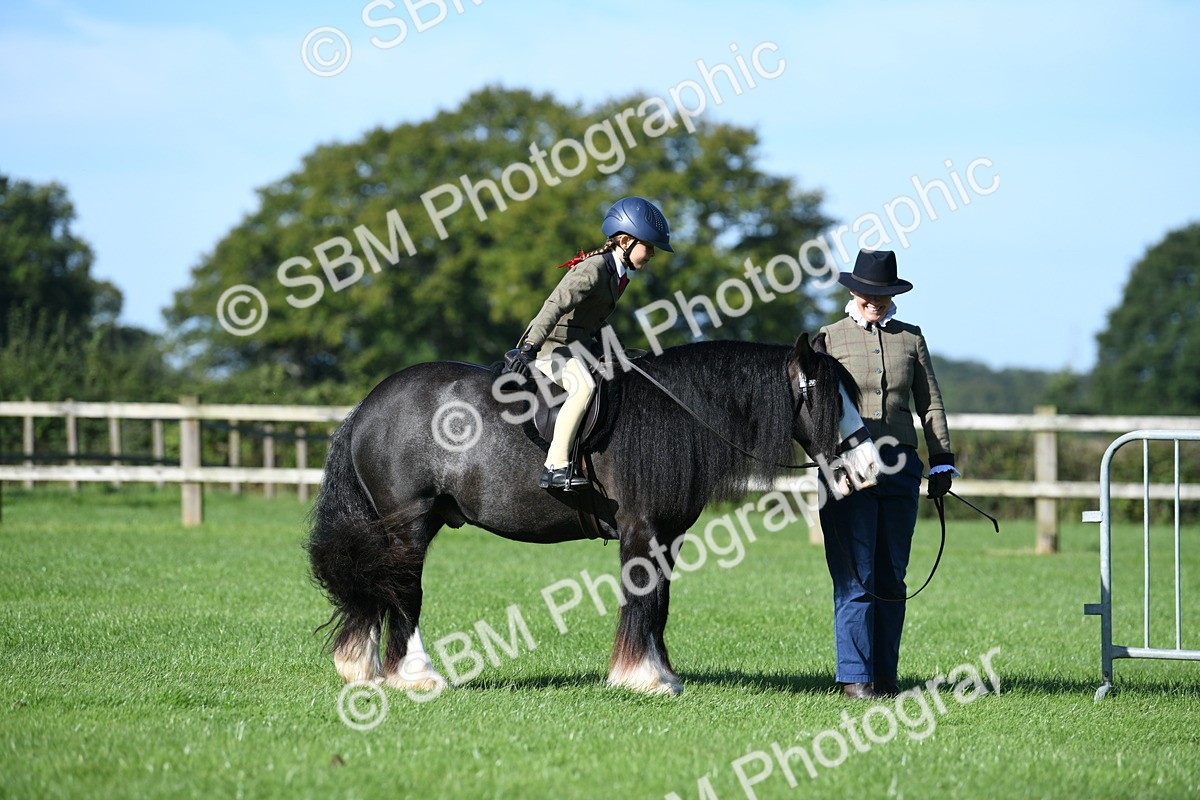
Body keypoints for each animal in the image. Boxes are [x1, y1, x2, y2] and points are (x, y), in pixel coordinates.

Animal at [306, 333, 881, 696]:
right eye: (830, 401)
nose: (869, 468)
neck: (676, 413)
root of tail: (368, 406)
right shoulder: (641, 532)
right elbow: (642, 598)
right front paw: (640, 678)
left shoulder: (667, 537)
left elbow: (659, 604)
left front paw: (662, 673)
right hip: (409, 525)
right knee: (404, 592)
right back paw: (416, 674)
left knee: (377, 587)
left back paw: (360, 667)